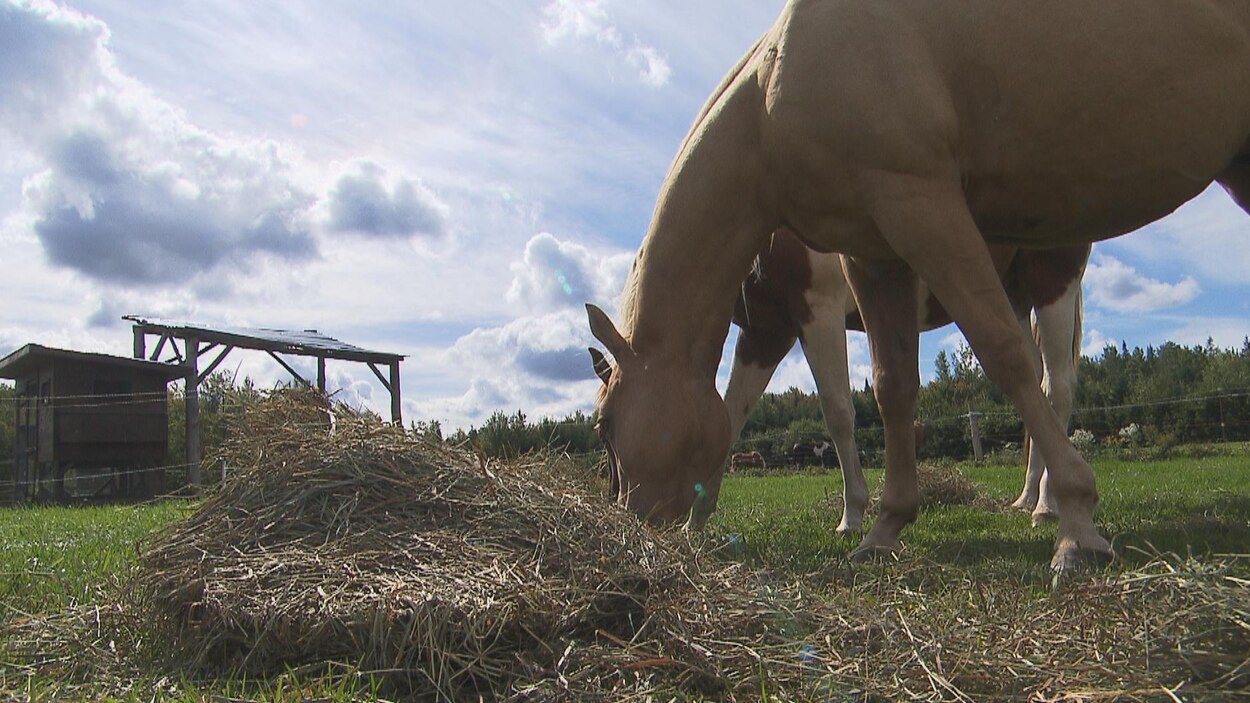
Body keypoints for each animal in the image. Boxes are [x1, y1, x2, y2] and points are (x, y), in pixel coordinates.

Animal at [705, 230, 1085, 530]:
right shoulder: (765, 334)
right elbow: (731, 416)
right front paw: (699, 516)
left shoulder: (818, 311)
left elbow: (838, 413)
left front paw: (852, 517)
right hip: (1011, 294)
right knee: (1032, 384)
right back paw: (1027, 498)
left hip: (1053, 279)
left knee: (1057, 388)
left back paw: (1046, 505)